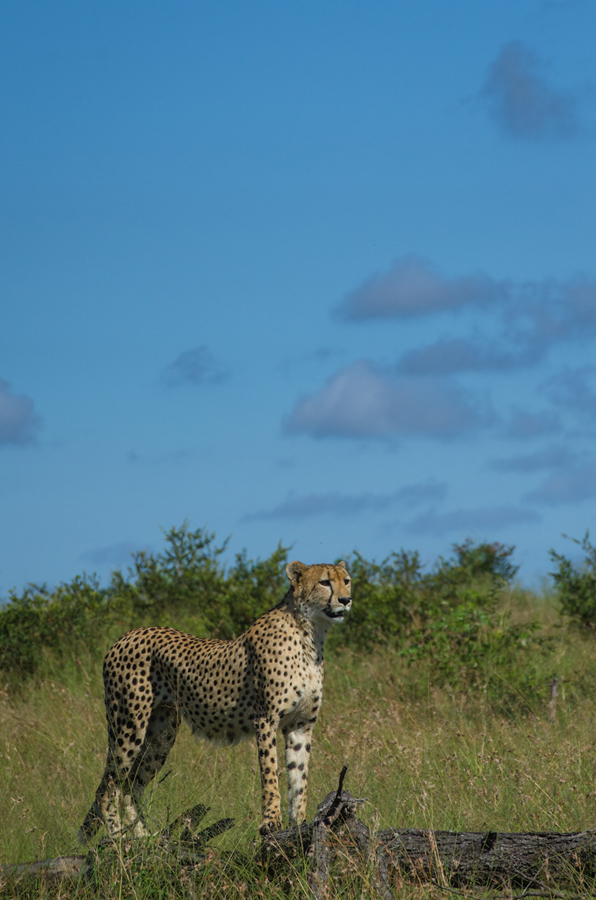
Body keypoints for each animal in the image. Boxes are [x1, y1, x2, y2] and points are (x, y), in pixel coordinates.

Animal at [78, 560, 351, 842]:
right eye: (324, 582)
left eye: (346, 580)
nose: (346, 600)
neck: (310, 633)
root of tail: (126, 635)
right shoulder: (265, 718)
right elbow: (270, 772)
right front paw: (270, 822)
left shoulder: (301, 725)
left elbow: (299, 779)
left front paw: (299, 825)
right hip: (129, 726)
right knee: (109, 787)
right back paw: (119, 841)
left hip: (160, 734)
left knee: (131, 785)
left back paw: (144, 840)